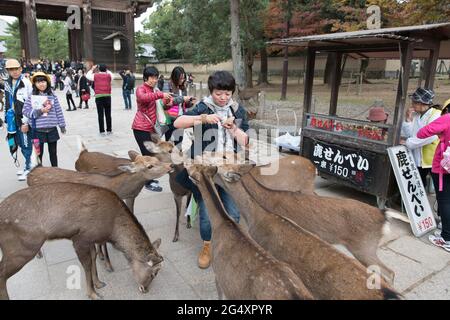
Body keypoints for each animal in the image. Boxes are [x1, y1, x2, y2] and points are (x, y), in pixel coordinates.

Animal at [0, 182, 164, 300]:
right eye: (154, 273)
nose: (145, 289)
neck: (112, 229)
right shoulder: (80, 238)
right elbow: (86, 264)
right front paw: (93, 294)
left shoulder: (91, 240)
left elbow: (93, 258)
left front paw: (99, 283)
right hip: (22, 248)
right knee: (2, 273)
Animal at [185, 164, 314, 302]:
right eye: (200, 166)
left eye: (194, 168)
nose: (187, 165)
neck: (221, 223)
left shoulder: (218, 275)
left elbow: (220, 295)